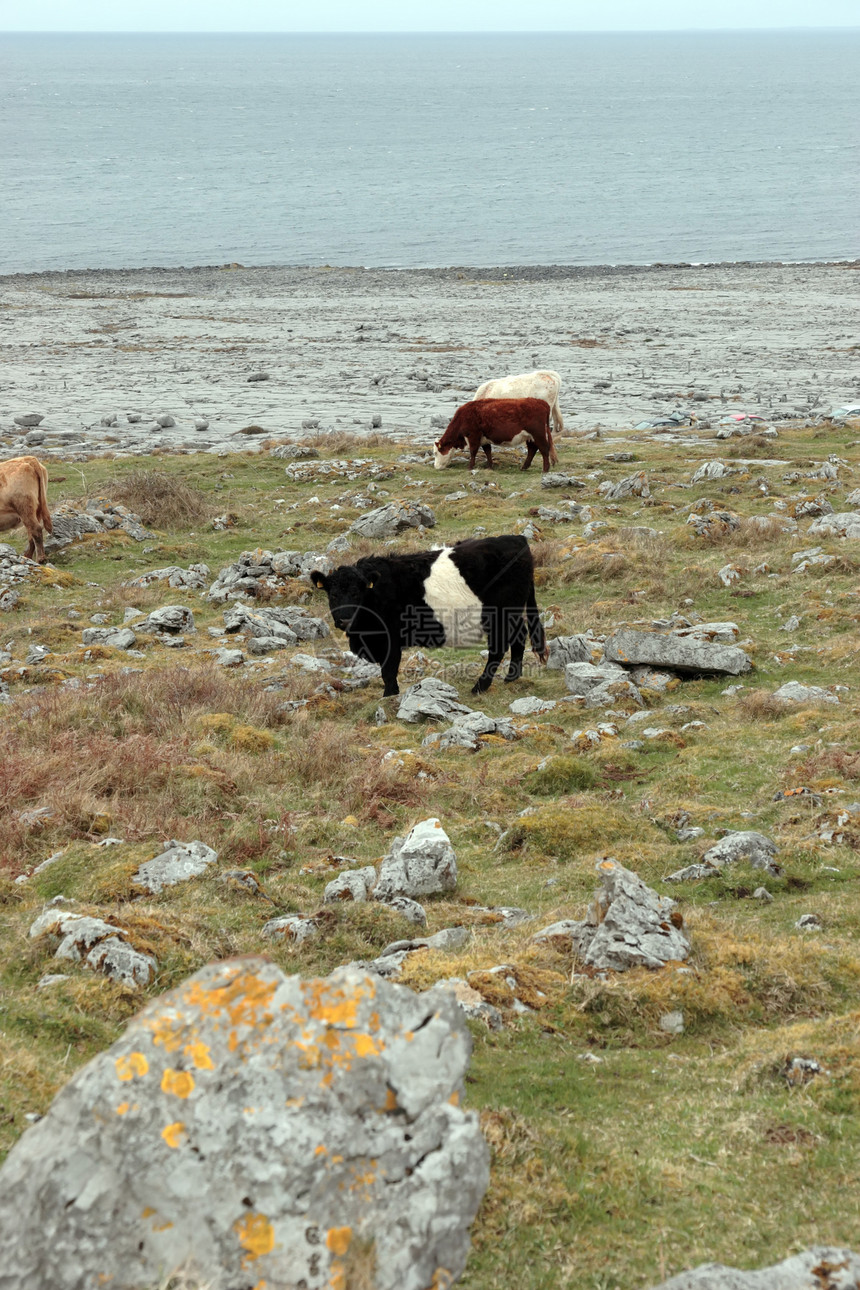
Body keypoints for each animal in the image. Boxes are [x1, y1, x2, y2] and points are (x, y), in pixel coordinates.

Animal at [313, 534, 549, 696]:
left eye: (356, 593)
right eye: (333, 595)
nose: (344, 619)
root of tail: (517, 539)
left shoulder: (390, 638)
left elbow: (388, 670)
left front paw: (389, 695)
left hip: (500, 616)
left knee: (498, 649)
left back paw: (479, 687)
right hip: (511, 615)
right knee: (519, 636)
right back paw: (511, 677)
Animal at [433, 397, 562, 474]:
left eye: (435, 453)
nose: (436, 467)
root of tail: (541, 402)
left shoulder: (474, 436)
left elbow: (473, 452)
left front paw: (470, 467)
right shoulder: (484, 439)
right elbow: (487, 451)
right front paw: (490, 466)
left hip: (538, 433)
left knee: (544, 449)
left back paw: (545, 469)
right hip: (530, 436)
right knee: (532, 449)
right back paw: (524, 467)